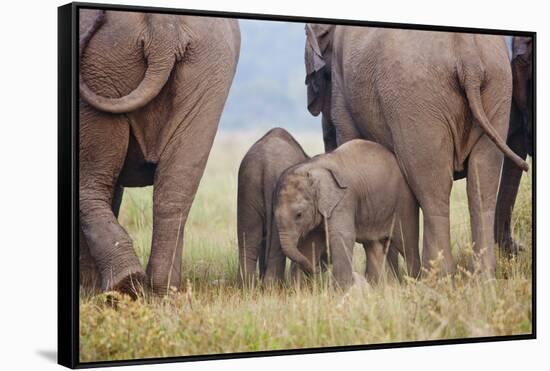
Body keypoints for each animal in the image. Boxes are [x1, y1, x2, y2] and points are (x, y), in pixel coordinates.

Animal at [79, 9, 242, 296]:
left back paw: (121, 286)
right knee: (176, 187)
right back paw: (161, 291)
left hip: (101, 63)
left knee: (93, 179)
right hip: (212, 65)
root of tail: (163, 27)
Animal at [237, 127, 328, 284]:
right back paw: (273, 286)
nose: (319, 270)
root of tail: (266, 163)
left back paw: (249, 285)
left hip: (247, 184)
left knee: (248, 241)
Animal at [276, 141, 422, 290]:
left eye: (299, 215)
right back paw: (376, 288)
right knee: (373, 247)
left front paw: (341, 290)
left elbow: (342, 236)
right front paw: (299, 290)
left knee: (407, 245)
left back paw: (413, 284)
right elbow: (309, 244)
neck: (312, 169)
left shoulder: (343, 200)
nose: (317, 269)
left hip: (404, 201)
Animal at [306, 24, 532, 276]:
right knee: (482, 180)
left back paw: (436, 276)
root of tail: (468, 57)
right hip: (496, 89)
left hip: (416, 101)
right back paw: (481, 277)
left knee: (431, 185)